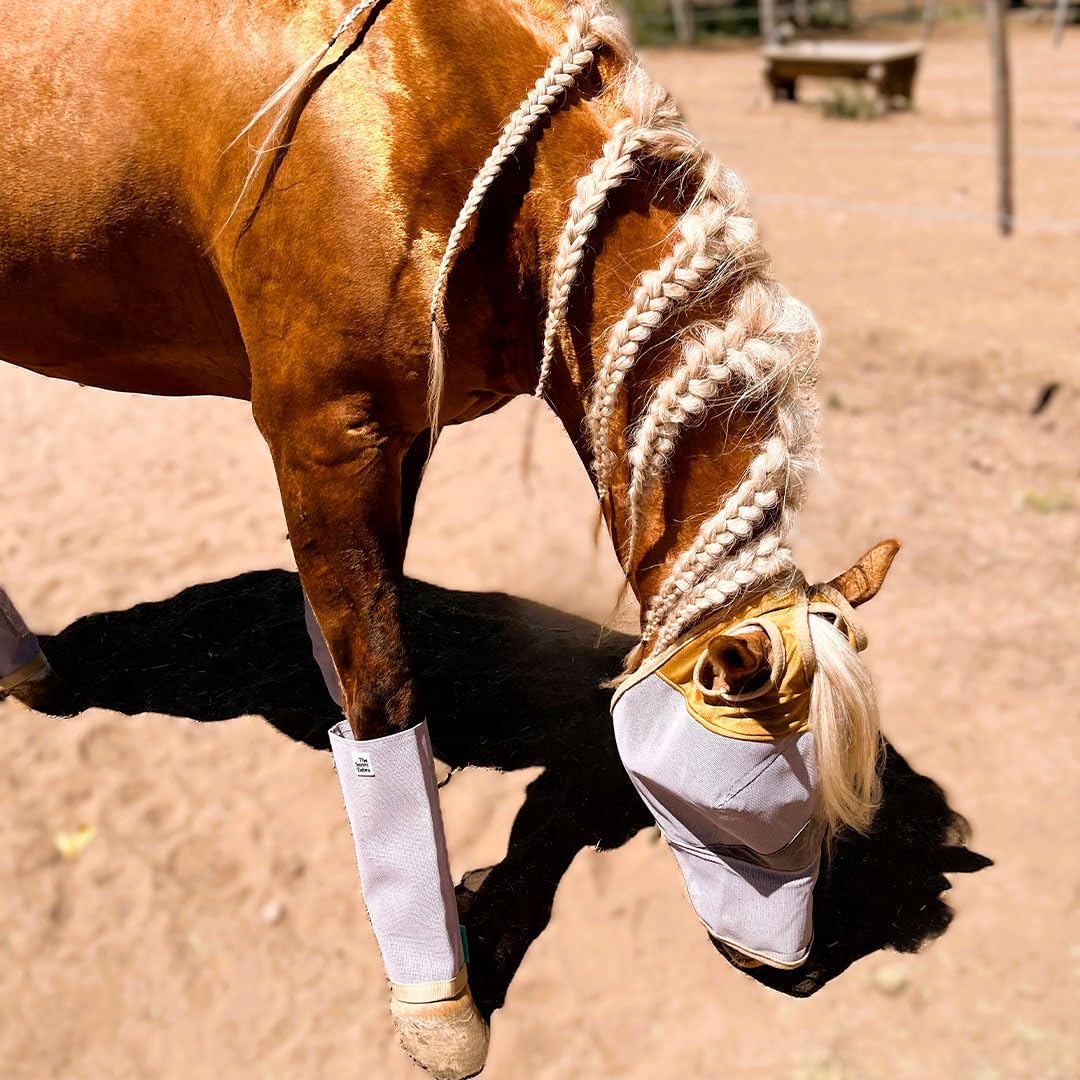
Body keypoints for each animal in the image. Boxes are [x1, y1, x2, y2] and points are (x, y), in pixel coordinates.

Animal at [1, 1, 898, 1076]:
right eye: (756, 809)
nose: (798, 975)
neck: (431, 101)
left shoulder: (406, 433)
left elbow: (364, 620)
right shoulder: (323, 433)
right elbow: (386, 691)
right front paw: (440, 998)